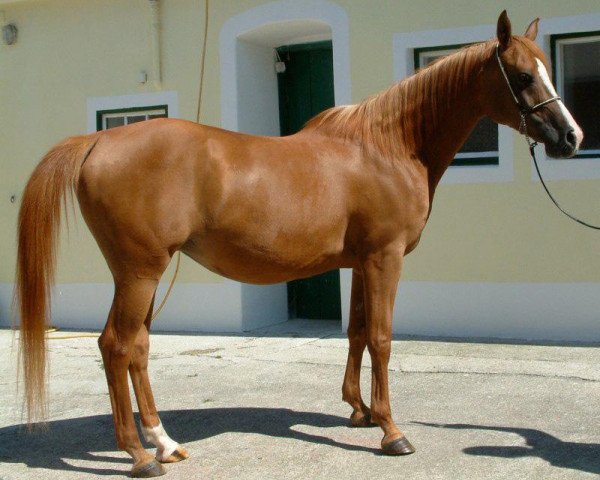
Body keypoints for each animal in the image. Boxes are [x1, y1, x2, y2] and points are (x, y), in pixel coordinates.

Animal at [15, 10, 580, 476]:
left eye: (548, 70)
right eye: (523, 76)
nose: (571, 138)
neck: (389, 146)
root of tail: (96, 141)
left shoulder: (360, 262)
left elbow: (356, 332)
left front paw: (360, 410)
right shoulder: (385, 258)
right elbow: (381, 338)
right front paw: (392, 432)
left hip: (143, 274)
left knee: (137, 348)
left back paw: (164, 443)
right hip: (139, 271)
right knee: (116, 345)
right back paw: (138, 455)